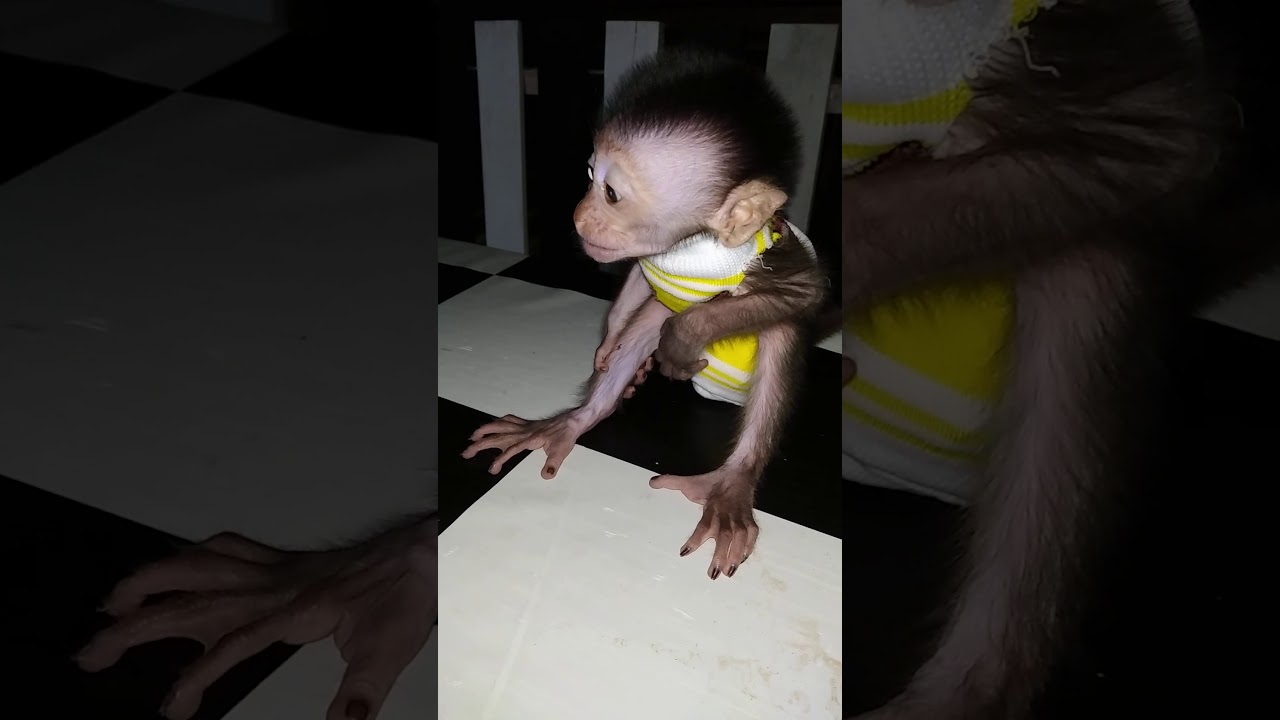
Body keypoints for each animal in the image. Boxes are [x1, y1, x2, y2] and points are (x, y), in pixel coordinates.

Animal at [461, 48, 828, 581]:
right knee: (648, 321)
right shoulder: (649, 261)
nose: (579, 217)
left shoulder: (773, 254)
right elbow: (637, 290)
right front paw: (611, 338)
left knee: (778, 332)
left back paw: (731, 483)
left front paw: (684, 338)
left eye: (612, 195)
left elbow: (805, 294)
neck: (688, 245)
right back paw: (574, 421)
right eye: (589, 177)